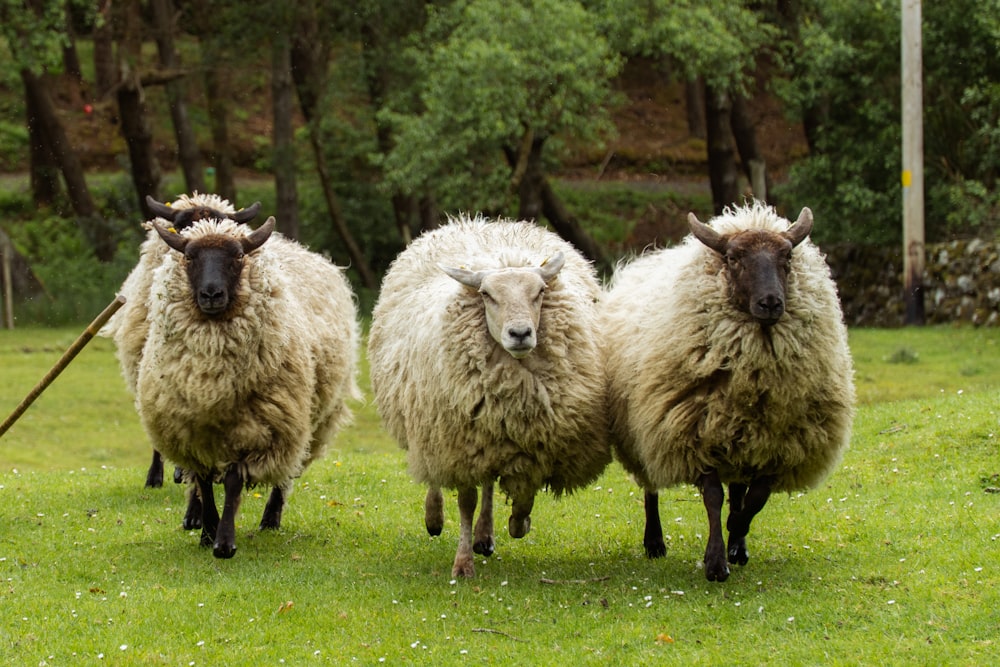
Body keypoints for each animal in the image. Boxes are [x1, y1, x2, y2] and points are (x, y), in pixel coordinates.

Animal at [112, 211, 360, 556]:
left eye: (239, 257)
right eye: (189, 257)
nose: (211, 294)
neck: (210, 376)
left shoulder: (252, 429)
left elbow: (232, 481)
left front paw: (224, 542)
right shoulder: (190, 430)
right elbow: (203, 480)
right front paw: (206, 531)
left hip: (303, 419)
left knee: (288, 471)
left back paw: (271, 518)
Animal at [368, 215, 608, 580]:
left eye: (539, 292)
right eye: (486, 294)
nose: (520, 333)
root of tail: (479, 222)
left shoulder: (528, 444)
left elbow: (523, 491)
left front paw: (518, 522)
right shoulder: (460, 444)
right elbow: (466, 502)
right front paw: (463, 562)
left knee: (489, 484)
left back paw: (486, 535)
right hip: (430, 426)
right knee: (435, 476)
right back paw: (435, 518)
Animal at [596, 201, 856, 580]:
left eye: (787, 257)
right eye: (733, 258)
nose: (770, 303)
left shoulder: (780, 444)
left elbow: (755, 498)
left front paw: (736, 534)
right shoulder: (695, 433)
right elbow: (713, 498)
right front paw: (716, 562)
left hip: (742, 437)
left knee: (738, 488)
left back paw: (738, 543)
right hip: (646, 432)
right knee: (651, 487)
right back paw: (655, 541)